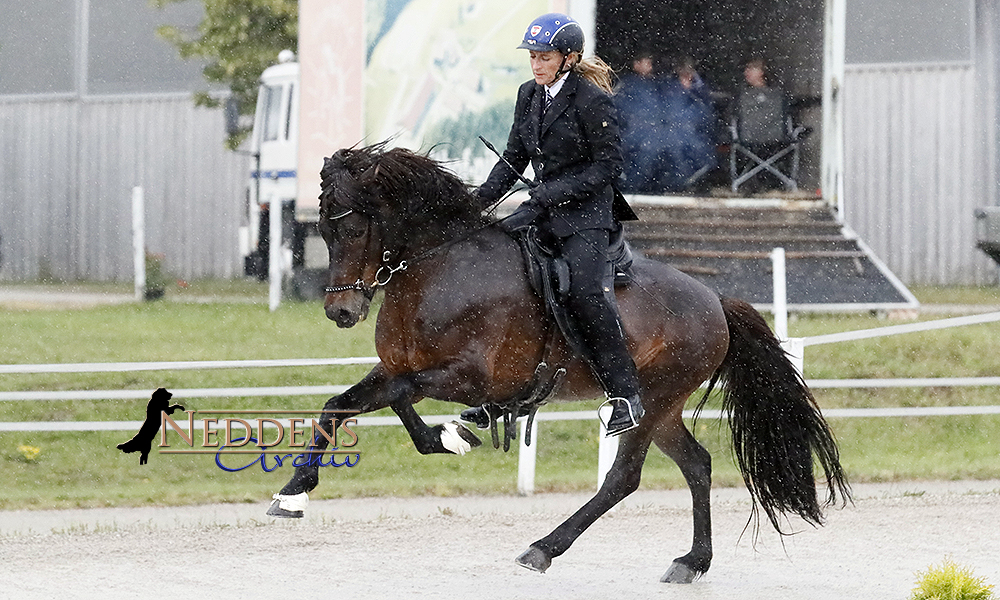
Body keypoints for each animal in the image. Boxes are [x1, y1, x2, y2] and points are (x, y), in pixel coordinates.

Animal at [268, 143, 852, 584]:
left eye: (354, 229)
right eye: (324, 231)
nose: (341, 312)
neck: (438, 268)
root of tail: (715, 301)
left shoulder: (473, 377)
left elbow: (401, 396)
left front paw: (449, 434)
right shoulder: (398, 367)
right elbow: (344, 404)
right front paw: (293, 494)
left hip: (649, 400)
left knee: (623, 478)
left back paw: (544, 548)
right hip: (663, 409)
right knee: (698, 465)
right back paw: (692, 562)